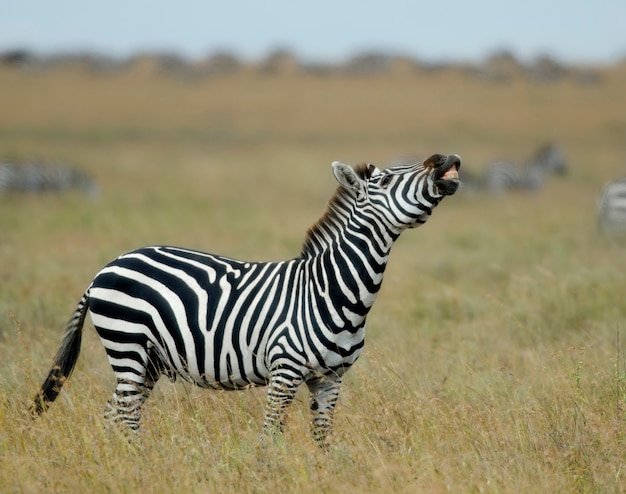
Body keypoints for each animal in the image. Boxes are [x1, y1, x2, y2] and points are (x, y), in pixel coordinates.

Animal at [31, 153, 460, 448]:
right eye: (387, 179)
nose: (447, 159)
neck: (333, 290)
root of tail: (106, 268)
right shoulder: (285, 370)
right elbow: (269, 437)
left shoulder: (330, 379)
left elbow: (323, 440)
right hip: (127, 347)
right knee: (126, 415)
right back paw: (137, 462)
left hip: (149, 360)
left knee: (115, 414)